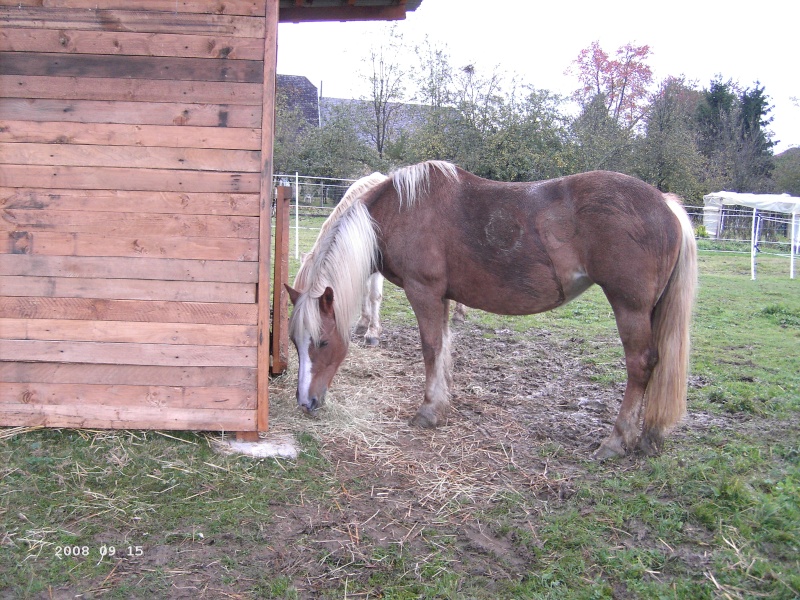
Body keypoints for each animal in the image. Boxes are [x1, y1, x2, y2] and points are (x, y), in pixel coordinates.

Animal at [284, 162, 696, 458]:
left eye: (322, 342)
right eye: (294, 342)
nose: (306, 403)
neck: (400, 210)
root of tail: (666, 204)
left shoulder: (424, 291)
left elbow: (431, 348)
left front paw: (428, 410)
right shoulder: (442, 297)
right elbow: (444, 348)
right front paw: (442, 403)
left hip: (630, 307)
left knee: (641, 365)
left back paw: (616, 440)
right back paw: (650, 435)